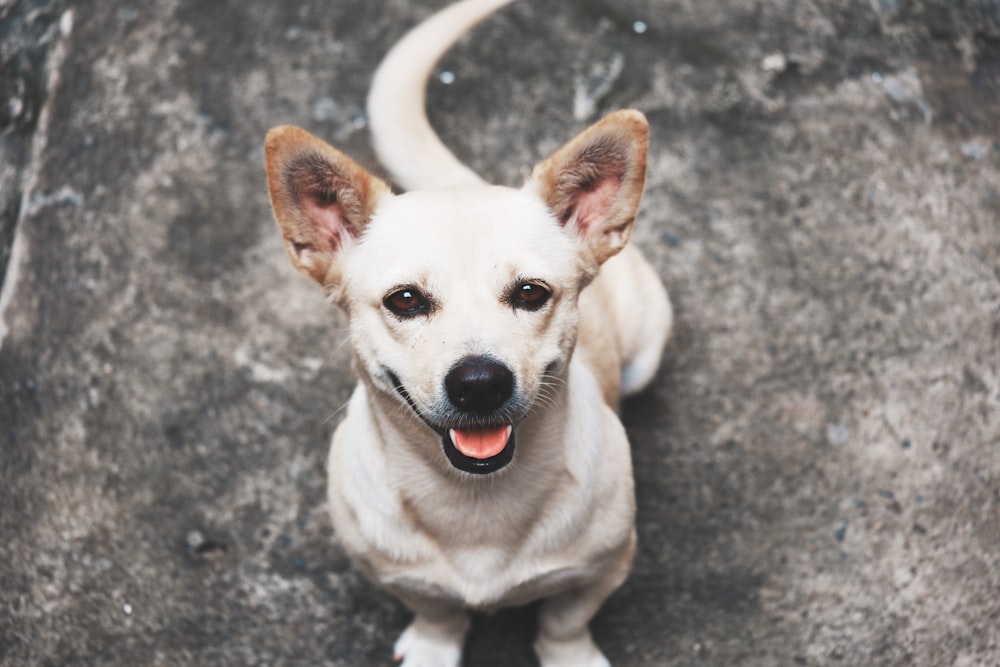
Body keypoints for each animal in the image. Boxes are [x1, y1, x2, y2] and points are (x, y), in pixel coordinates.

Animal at [264, 1, 672, 667]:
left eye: (531, 292)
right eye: (404, 300)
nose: (479, 383)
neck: (476, 505)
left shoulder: (605, 568)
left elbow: (564, 621)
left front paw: (569, 655)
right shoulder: (395, 574)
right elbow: (437, 610)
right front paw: (435, 645)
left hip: (647, 349)